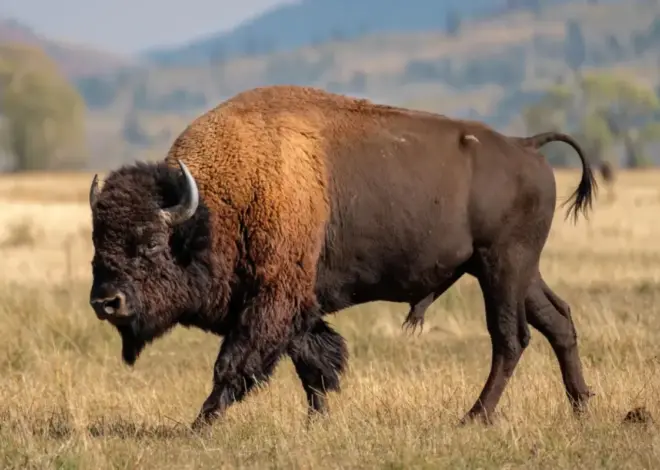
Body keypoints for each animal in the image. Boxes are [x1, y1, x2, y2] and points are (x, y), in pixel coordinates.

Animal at [87, 85, 597, 431]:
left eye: (151, 244)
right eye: (97, 245)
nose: (106, 302)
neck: (219, 206)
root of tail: (526, 147)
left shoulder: (272, 300)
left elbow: (236, 362)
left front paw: (200, 424)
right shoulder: (295, 304)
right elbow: (313, 362)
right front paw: (318, 420)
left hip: (501, 267)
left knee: (510, 338)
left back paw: (474, 416)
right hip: (516, 271)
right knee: (558, 322)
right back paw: (582, 405)